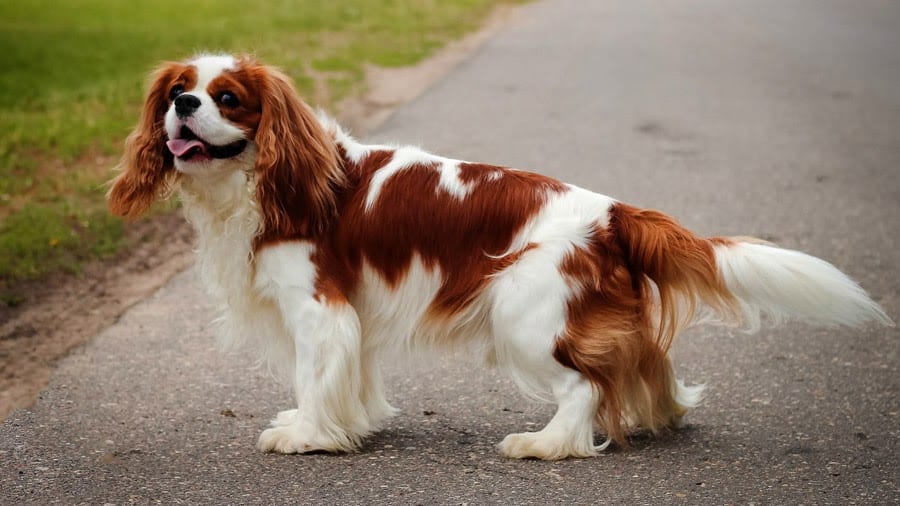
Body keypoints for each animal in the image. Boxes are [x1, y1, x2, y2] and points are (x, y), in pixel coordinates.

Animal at [107, 54, 892, 458]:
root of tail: (613, 212)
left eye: (228, 97)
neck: (267, 181)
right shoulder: (353, 313)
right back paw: (655, 416)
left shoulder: (317, 309)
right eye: (177, 90)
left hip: (524, 314)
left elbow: (312, 376)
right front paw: (351, 426)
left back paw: (546, 445)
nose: (183, 105)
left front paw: (307, 436)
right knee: (643, 366)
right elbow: (351, 378)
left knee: (584, 387)